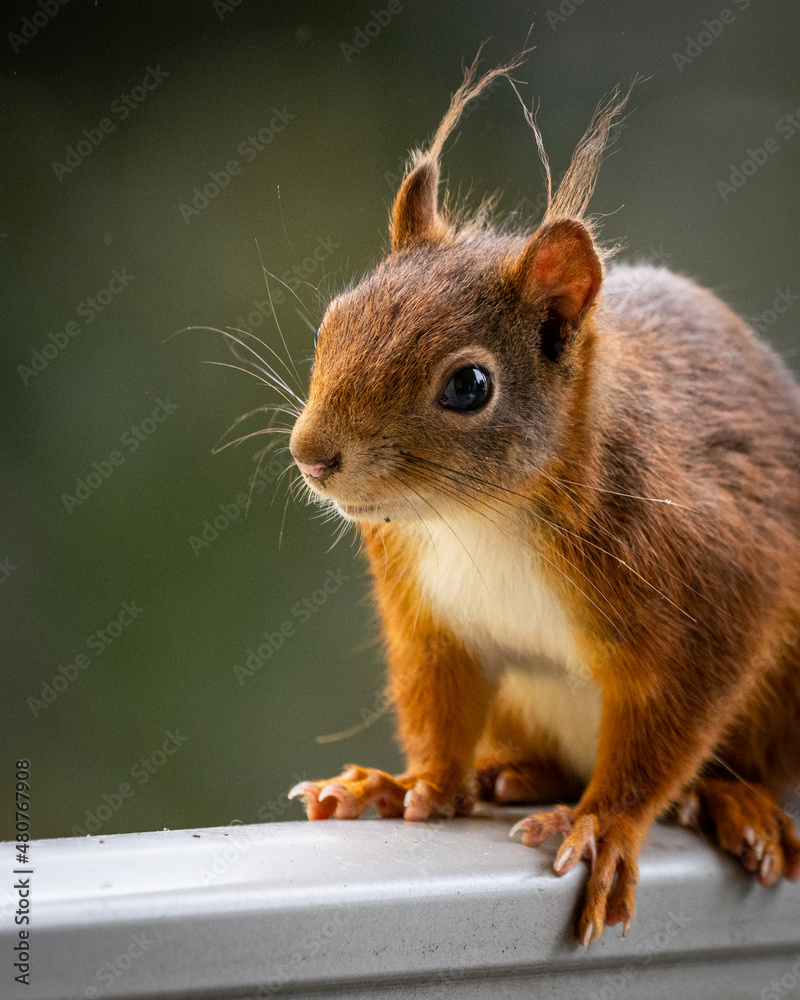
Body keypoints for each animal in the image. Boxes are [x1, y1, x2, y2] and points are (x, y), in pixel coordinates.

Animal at [286, 54, 800, 946]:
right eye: (333, 321)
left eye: (469, 385)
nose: (312, 456)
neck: (480, 518)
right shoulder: (430, 614)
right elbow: (437, 698)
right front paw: (408, 784)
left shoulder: (710, 586)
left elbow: (669, 723)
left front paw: (604, 825)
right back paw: (509, 776)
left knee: (751, 765)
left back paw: (736, 802)